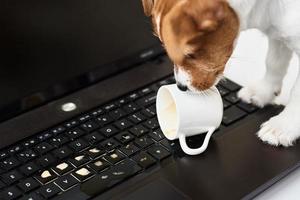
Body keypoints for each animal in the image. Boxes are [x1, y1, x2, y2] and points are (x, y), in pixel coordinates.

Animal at [142, 0, 300, 147]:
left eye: (190, 54)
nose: (180, 87)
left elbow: (296, 94)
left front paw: (282, 126)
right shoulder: (276, 37)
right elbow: (274, 62)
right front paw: (263, 91)